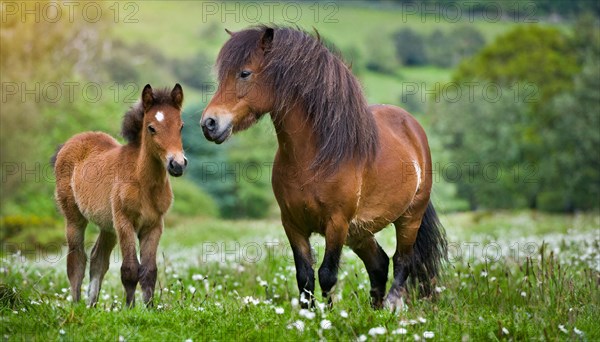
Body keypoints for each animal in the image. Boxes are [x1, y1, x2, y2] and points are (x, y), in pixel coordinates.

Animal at [52, 83, 186, 308]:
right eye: (151, 128)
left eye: (181, 126)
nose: (177, 164)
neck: (144, 182)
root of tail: (69, 143)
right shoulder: (125, 222)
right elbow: (130, 269)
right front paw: (129, 309)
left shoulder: (154, 225)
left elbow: (149, 271)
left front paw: (150, 309)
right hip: (75, 219)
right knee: (76, 260)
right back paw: (77, 305)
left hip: (108, 226)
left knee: (98, 260)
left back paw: (92, 305)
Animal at [202, 26, 446, 310]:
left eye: (245, 73)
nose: (209, 123)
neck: (313, 158)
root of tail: (412, 128)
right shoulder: (292, 224)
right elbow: (305, 276)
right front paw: (308, 316)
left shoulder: (337, 224)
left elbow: (327, 275)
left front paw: (328, 315)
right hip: (359, 232)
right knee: (379, 264)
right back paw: (374, 312)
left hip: (408, 218)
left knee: (402, 262)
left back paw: (391, 308)